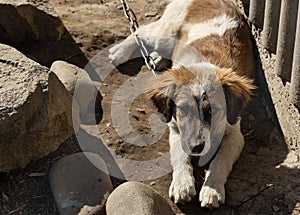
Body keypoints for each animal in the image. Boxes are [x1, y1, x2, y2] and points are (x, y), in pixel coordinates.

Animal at [109, 0, 255, 209]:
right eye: (184, 109)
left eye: (213, 111)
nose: (195, 148)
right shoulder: (175, 127)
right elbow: (180, 156)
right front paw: (182, 185)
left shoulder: (234, 133)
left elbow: (220, 161)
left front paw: (212, 189)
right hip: (166, 33)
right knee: (141, 32)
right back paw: (120, 51)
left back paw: (156, 59)